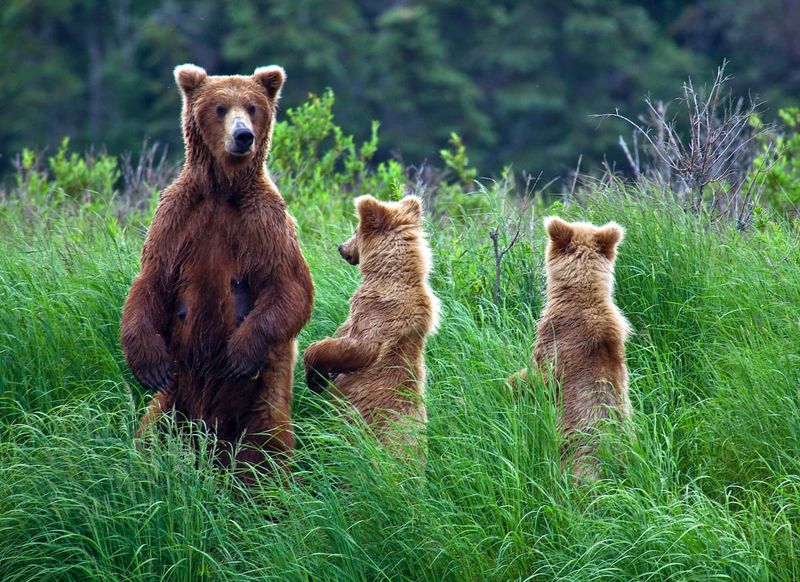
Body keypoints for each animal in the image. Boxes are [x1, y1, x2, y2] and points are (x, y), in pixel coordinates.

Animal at [120, 64, 314, 470]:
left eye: (252, 107)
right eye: (220, 108)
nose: (243, 136)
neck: (223, 190)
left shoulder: (264, 222)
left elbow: (289, 287)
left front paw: (239, 353)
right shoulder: (178, 217)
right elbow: (151, 281)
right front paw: (148, 364)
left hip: (259, 405)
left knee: (265, 450)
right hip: (174, 399)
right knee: (151, 433)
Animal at [302, 196, 438, 452]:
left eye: (355, 230)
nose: (341, 247)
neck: (386, 276)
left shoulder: (377, 314)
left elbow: (356, 347)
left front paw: (315, 375)